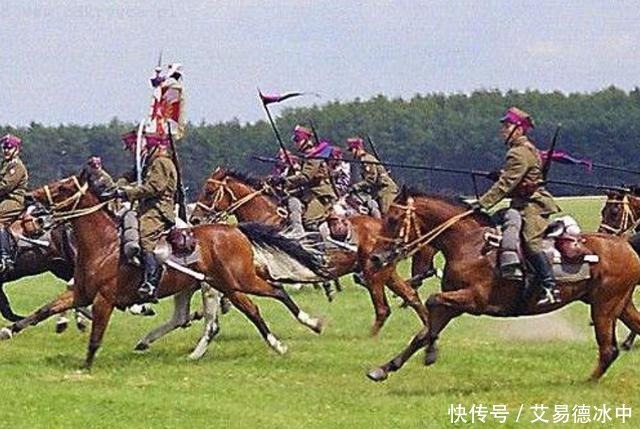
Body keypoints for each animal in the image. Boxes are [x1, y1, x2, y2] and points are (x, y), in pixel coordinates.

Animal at [0, 175, 330, 368]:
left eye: (63, 188)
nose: (30, 200)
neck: (103, 245)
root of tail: (235, 230)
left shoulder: (104, 299)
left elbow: (96, 335)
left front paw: (86, 366)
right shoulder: (80, 292)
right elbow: (42, 311)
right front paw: (9, 330)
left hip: (238, 282)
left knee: (271, 295)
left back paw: (303, 328)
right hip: (217, 286)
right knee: (219, 315)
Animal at [188, 167, 432, 334]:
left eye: (209, 191)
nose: (194, 219)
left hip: (375, 273)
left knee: (385, 306)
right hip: (387, 272)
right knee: (410, 295)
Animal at [368, 188, 640, 382]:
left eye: (393, 219)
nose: (375, 258)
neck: (469, 244)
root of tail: (625, 246)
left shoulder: (473, 300)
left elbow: (431, 302)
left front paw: (430, 351)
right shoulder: (454, 302)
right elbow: (423, 332)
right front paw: (385, 368)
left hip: (604, 307)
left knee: (608, 350)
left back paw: (587, 382)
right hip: (619, 305)